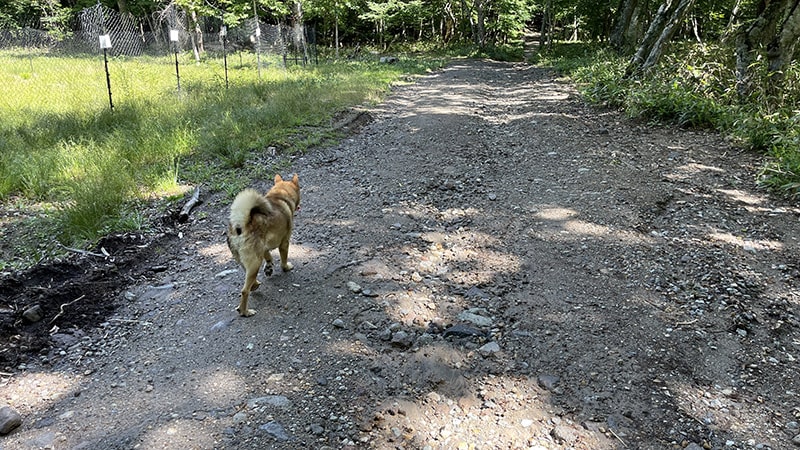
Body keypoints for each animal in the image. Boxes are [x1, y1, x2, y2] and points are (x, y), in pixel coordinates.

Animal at [225, 173, 300, 316]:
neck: (279, 196)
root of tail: (240, 226)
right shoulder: (284, 243)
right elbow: (283, 259)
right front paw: (286, 267)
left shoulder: (264, 248)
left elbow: (269, 256)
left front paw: (269, 267)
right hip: (255, 262)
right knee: (244, 291)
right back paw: (245, 311)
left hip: (248, 262)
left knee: (249, 280)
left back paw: (255, 285)